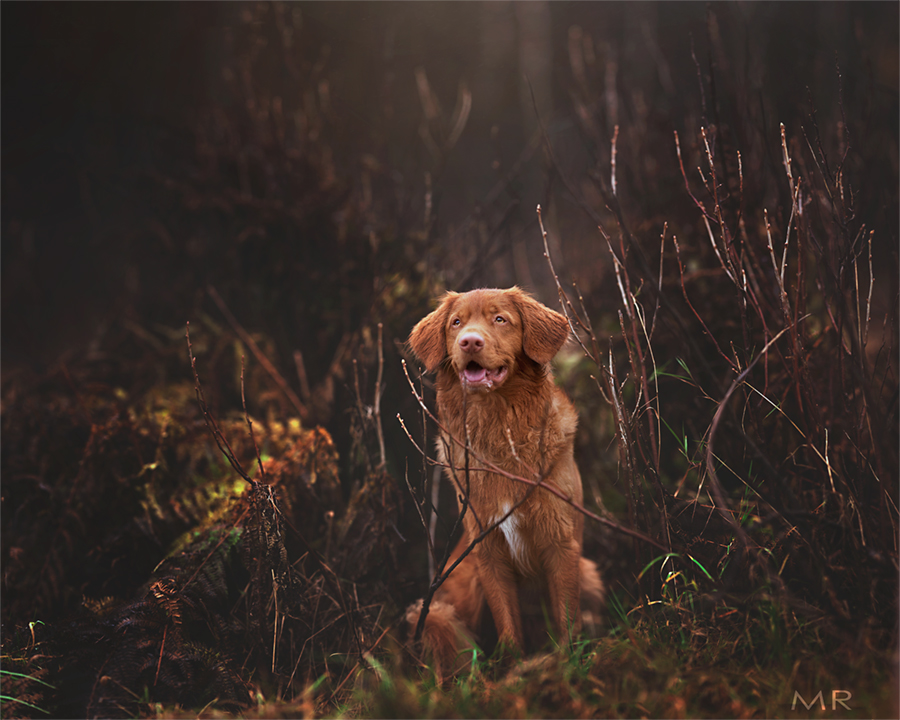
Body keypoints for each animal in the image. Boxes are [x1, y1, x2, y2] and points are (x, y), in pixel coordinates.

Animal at [408, 286, 604, 676]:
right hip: (459, 587)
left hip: (589, 572)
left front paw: (568, 662)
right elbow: (507, 624)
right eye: (456, 323)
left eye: (500, 319)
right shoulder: (488, 551)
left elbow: (566, 617)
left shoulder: (561, 544)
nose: (470, 341)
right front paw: (515, 670)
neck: (499, 426)